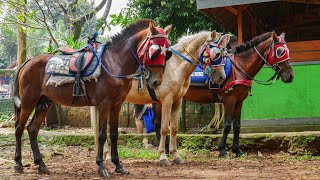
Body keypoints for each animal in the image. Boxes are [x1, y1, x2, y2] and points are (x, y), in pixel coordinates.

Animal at [12, 19, 172, 177]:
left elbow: (114, 134)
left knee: (32, 129)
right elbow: (101, 135)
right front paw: (101, 166)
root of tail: (28, 61)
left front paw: (118, 165)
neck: (114, 63)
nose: (156, 82)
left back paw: (41, 164)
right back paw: (18, 163)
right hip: (28, 101)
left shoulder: (117, 105)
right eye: (154, 50)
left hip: (44, 103)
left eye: (168, 52)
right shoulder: (104, 104)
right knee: (19, 128)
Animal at [92, 30, 230, 165]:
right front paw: (163, 156)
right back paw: (108, 157)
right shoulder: (166, 101)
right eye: (217, 54)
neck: (176, 66)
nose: (222, 77)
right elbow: (164, 128)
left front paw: (175, 155)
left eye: (225, 54)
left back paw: (106, 156)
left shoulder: (177, 101)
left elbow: (174, 128)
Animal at [156, 32, 296, 158]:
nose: (290, 76)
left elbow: (237, 126)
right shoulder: (229, 99)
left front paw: (237, 150)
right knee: (158, 123)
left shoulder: (239, 101)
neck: (239, 68)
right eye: (280, 51)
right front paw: (222, 150)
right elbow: (228, 125)